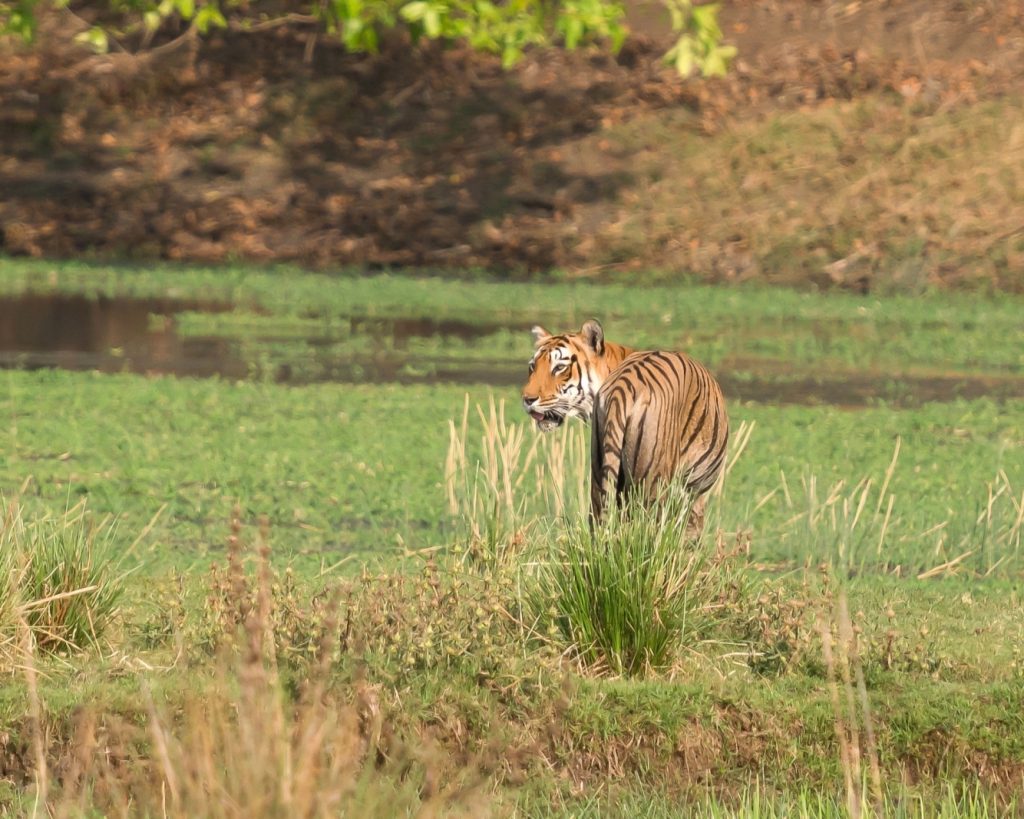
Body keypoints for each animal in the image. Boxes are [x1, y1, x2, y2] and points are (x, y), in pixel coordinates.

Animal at [524, 317, 733, 536]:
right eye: (533, 367)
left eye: (558, 368)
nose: (527, 399)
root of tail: (621, 390)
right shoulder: (694, 492)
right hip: (651, 484)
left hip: (599, 473)